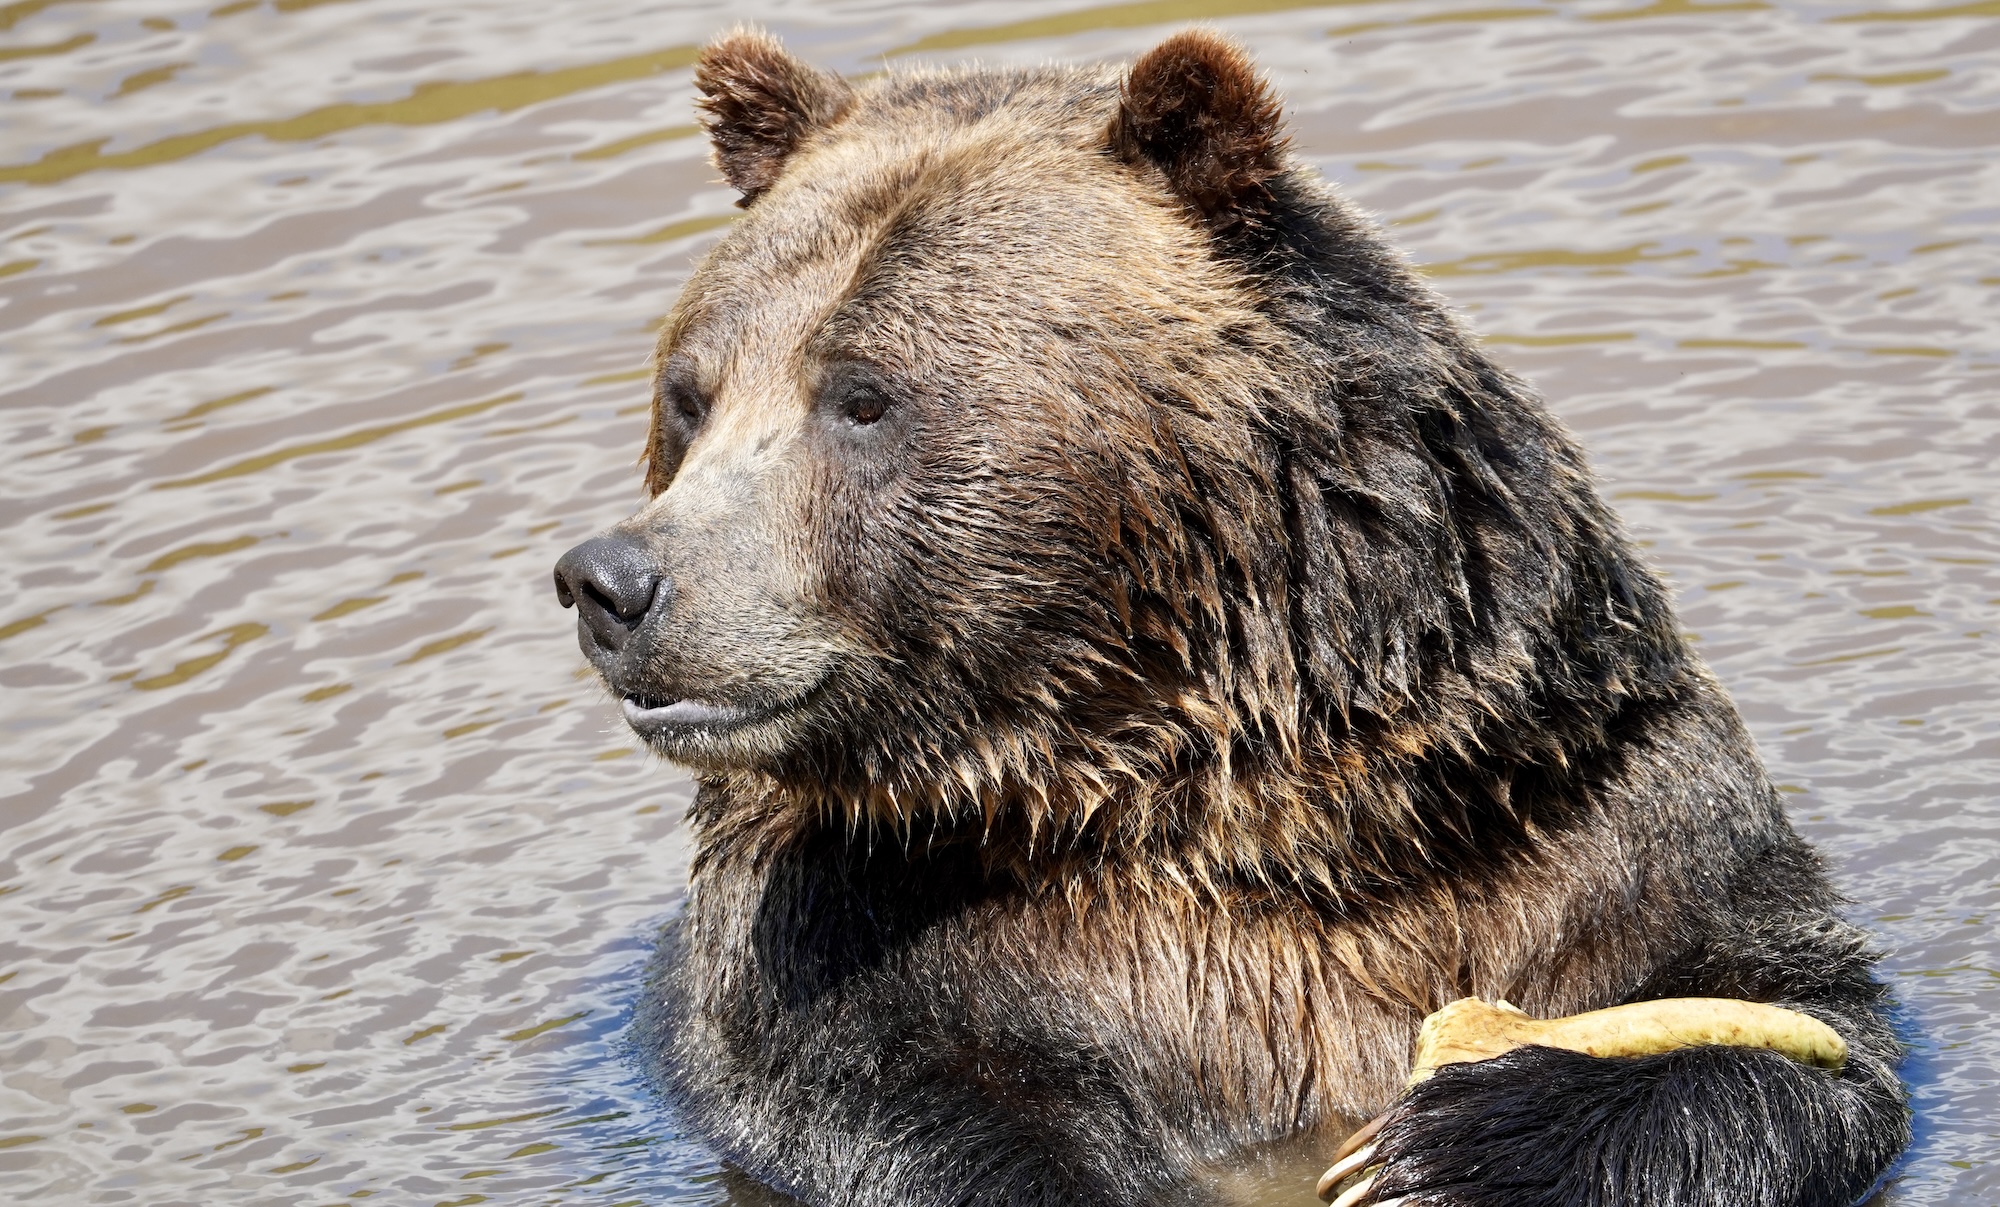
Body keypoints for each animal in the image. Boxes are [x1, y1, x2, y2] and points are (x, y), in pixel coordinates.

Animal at [551, 28, 1909, 1207]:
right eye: (691, 393)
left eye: (862, 395)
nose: (612, 581)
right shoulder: (855, 965)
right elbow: (913, 1125)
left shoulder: (1580, 829)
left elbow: (1790, 1033)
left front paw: (1445, 1150)